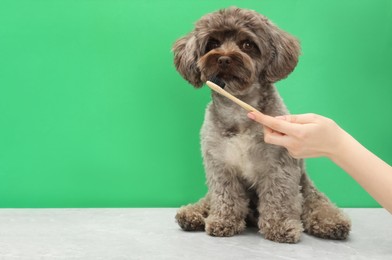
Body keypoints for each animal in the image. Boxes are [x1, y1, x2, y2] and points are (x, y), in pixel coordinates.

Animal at [173, 7, 350, 243]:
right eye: (212, 43)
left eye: (247, 44)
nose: (223, 59)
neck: (240, 111)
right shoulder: (220, 165)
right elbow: (224, 196)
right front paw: (223, 221)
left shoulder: (279, 166)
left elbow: (279, 197)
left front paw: (280, 226)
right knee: (208, 200)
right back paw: (192, 214)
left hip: (306, 188)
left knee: (317, 205)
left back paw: (332, 223)